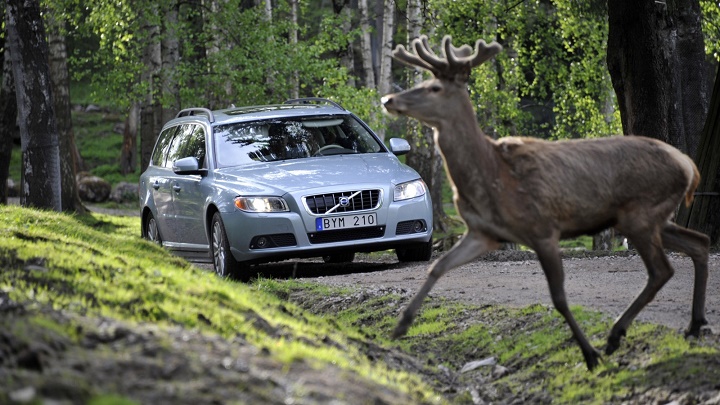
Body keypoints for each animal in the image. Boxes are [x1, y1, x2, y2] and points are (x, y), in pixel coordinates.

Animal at [380, 34, 712, 370]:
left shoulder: (542, 228)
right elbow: (437, 267)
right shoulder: (483, 232)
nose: (388, 100)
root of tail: (689, 166)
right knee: (700, 242)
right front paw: (401, 325)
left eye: (435, 88)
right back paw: (692, 325)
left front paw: (589, 354)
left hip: (641, 213)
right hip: (650, 217)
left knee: (662, 270)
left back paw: (616, 335)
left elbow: (559, 297)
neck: (492, 175)